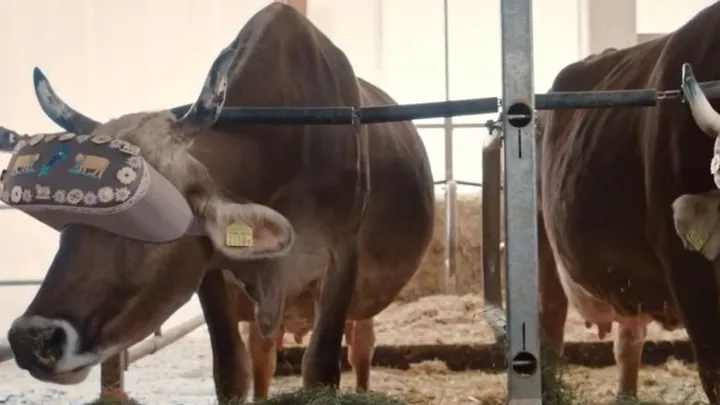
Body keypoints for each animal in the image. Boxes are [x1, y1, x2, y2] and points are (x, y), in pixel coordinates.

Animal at [0, 4, 434, 403]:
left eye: (153, 218)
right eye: (65, 225)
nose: (31, 339)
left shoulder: (341, 256)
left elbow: (321, 370)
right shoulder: (212, 275)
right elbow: (231, 373)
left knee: (361, 347)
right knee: (263, 355)